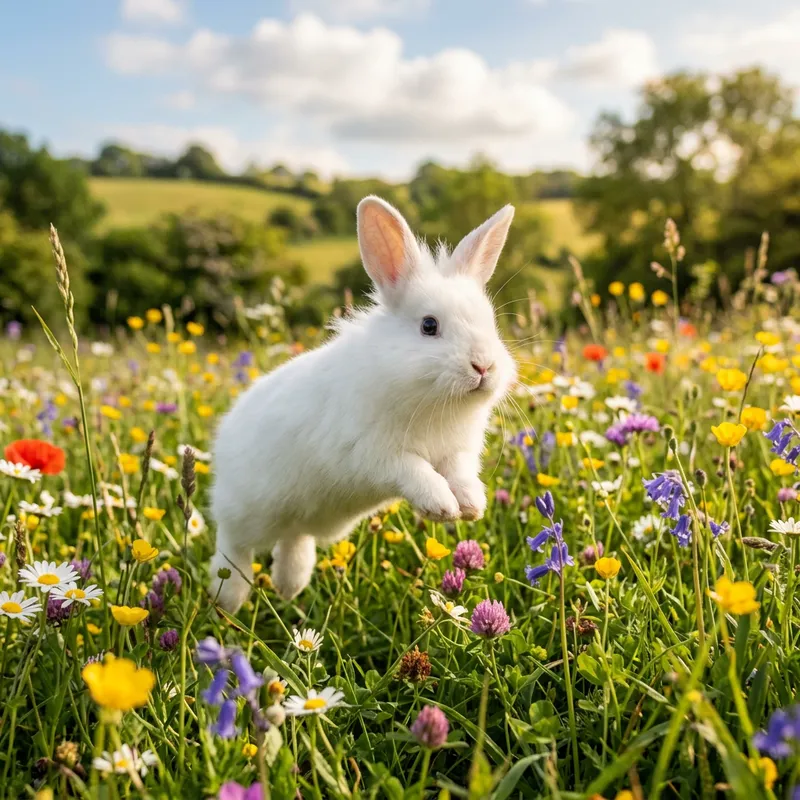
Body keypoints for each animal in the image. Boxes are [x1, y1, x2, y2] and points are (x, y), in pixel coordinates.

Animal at [209, 195, 517, 612]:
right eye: (429, 326)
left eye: (491, 323)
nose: (484, 366)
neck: (433, 401)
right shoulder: (375, 455)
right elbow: (417, 472)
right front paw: (441, 506)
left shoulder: (457, 453)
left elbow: (461, 475)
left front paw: (470, 506)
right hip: (248, 512)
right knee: (232, 545)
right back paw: (228, 600)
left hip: (301, 521)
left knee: (294, 539)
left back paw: (290, 587)